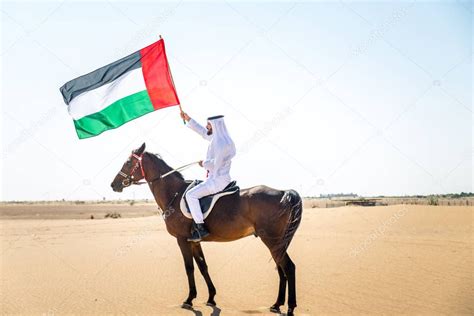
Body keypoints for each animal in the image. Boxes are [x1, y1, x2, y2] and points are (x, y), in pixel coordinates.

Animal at [110, 144, 304, 316]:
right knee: (281, 268)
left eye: (128, 162)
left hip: (271, 240)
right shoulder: (194, 241)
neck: (174, 193)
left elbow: (189, 268)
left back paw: (290, 307)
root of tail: (283, 192)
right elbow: (203, 266)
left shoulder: (182, 240)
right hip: (277, 242)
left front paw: (189, 299)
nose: (114, 184)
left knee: (289, 267)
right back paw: (277, 304)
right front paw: (211, 297)